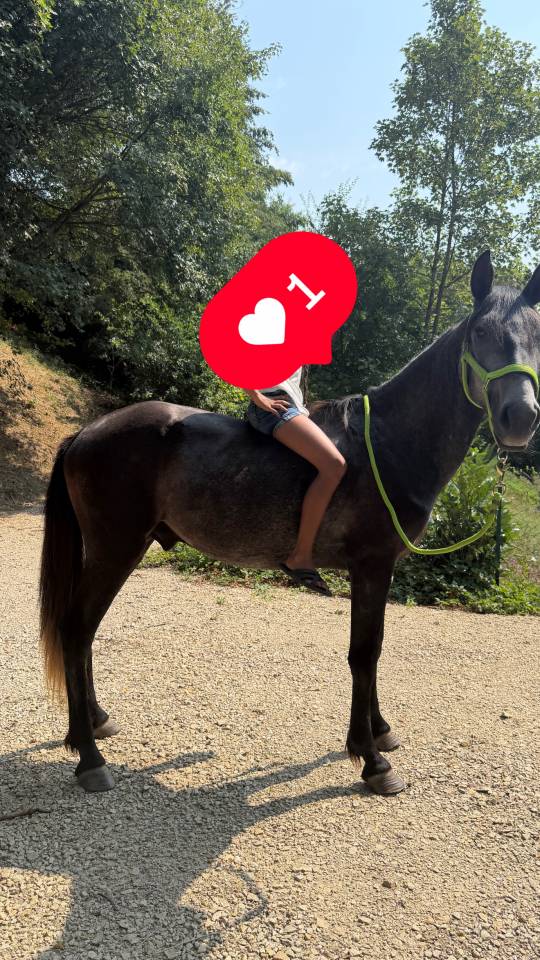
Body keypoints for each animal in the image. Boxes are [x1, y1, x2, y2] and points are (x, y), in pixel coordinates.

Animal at [39, 251, 540, 795]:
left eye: (536, 334)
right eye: (481, 333)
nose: (520, 417)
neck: (387, 443)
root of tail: (87, 430)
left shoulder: (378, 570)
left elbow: (374, 650)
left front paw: (379, 733)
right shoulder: (372, 566)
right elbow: (364, 653)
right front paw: (371, 759)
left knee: (85, 631)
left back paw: (95, 723)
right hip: (115, 549)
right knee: (75, 629)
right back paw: (89, 757)